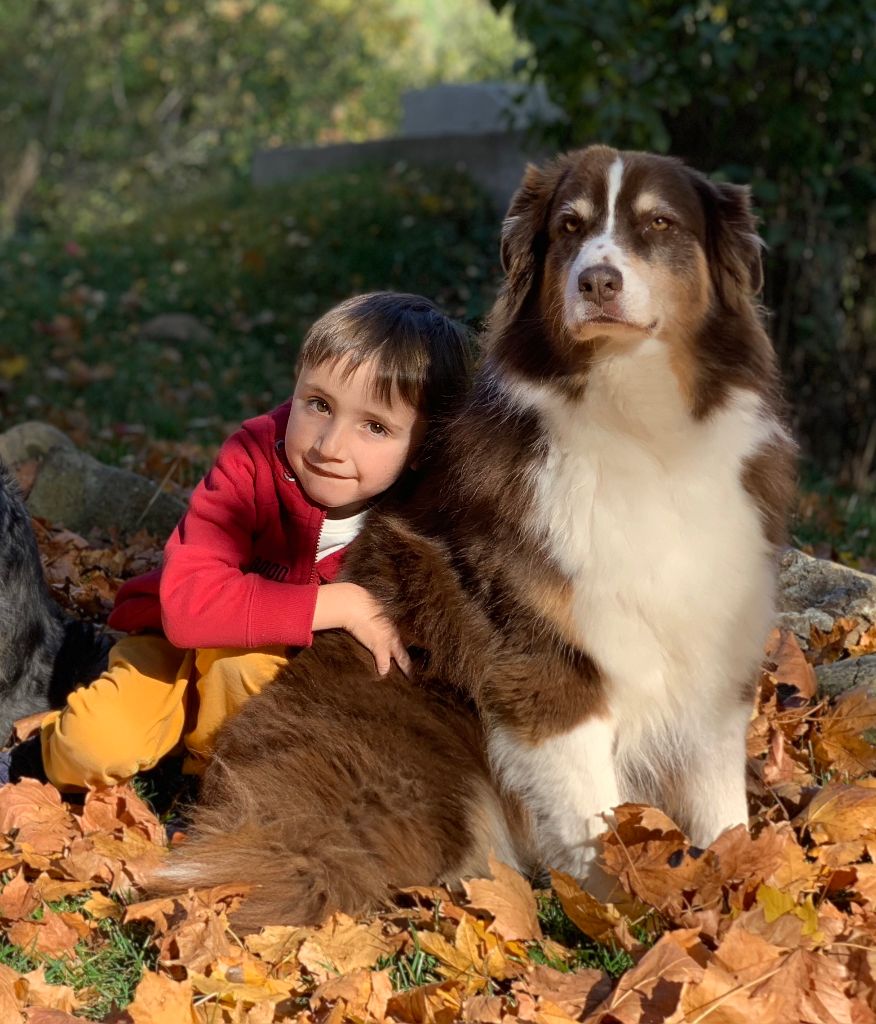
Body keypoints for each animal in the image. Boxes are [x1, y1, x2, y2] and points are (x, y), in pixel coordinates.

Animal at [153, 146, 799, 929]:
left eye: (659, 224)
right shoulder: (543, 666)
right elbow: (595, 821)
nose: (598, 280)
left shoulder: (712, 650)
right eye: (571, 226)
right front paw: (626, 922)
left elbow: (719, 804)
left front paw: (741, 901)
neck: (639, 428)